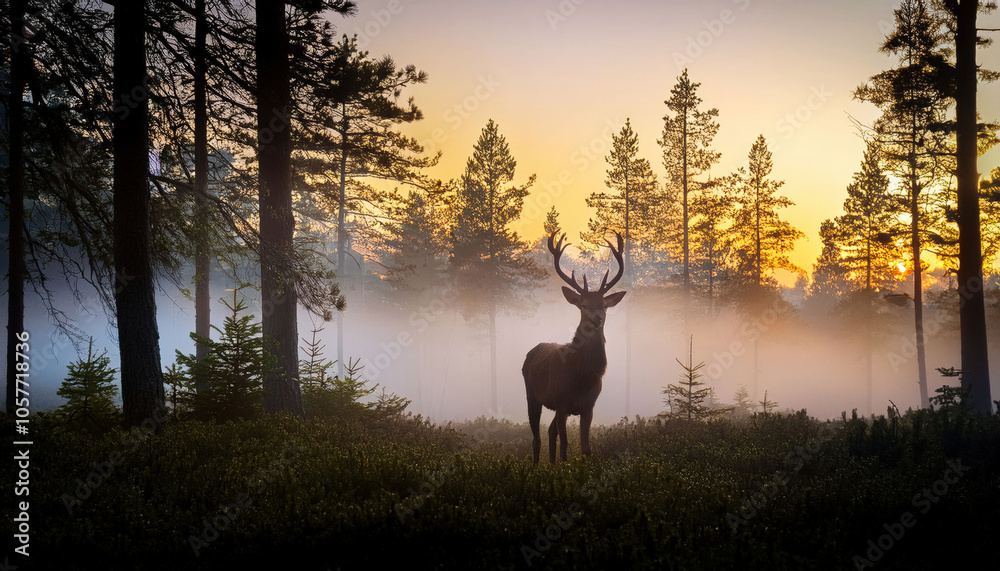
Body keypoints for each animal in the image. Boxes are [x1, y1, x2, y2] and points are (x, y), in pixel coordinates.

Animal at [522, 232, 626, 465]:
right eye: (583, 305)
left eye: (604, 305)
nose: (597, 319)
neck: (582, 376)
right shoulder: (561, 402)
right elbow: (565, 446)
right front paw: (564, 467)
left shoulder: (588, 406)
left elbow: (586, 448)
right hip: (532, 395)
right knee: (536, 439)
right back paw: (535, 467)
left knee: (550, 432)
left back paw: (550, 466)